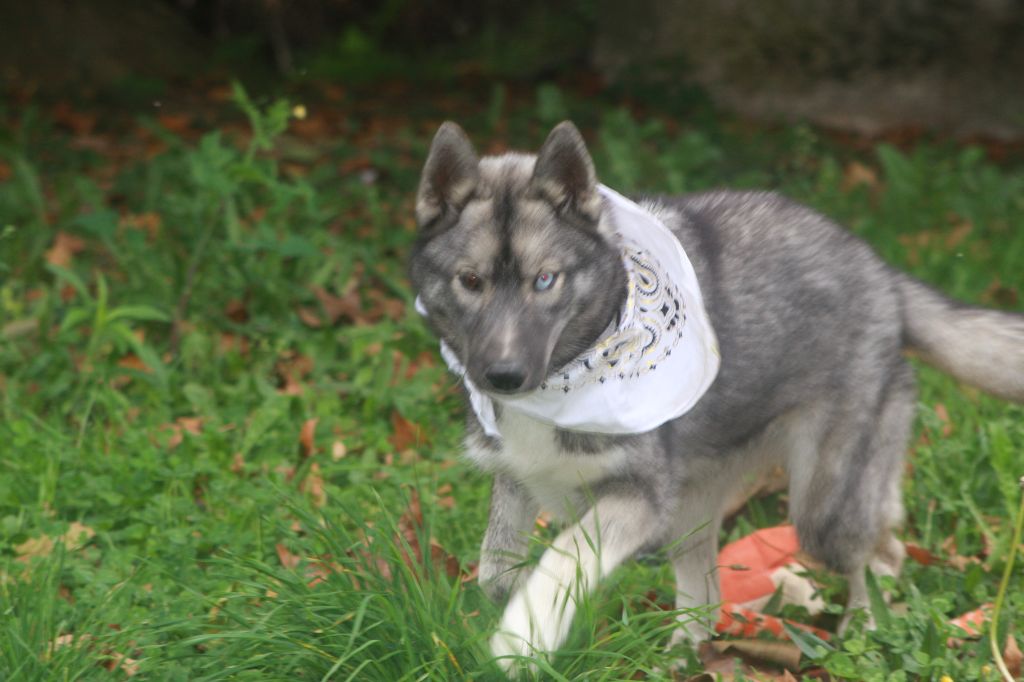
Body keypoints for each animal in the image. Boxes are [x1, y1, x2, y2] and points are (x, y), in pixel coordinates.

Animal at [408, 120, 1024, 670]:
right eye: (471, 281)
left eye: (545, 279)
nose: (502, 375)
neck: (575, 368)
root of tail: (884, 276)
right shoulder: (518, 478)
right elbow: (496, 574)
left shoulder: (637, 501)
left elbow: (563, 558)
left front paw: (526, 632)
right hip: (694, 512)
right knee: (706, 598)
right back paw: (685, 655)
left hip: (821, 509)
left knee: (880, 554)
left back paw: (862, 635)